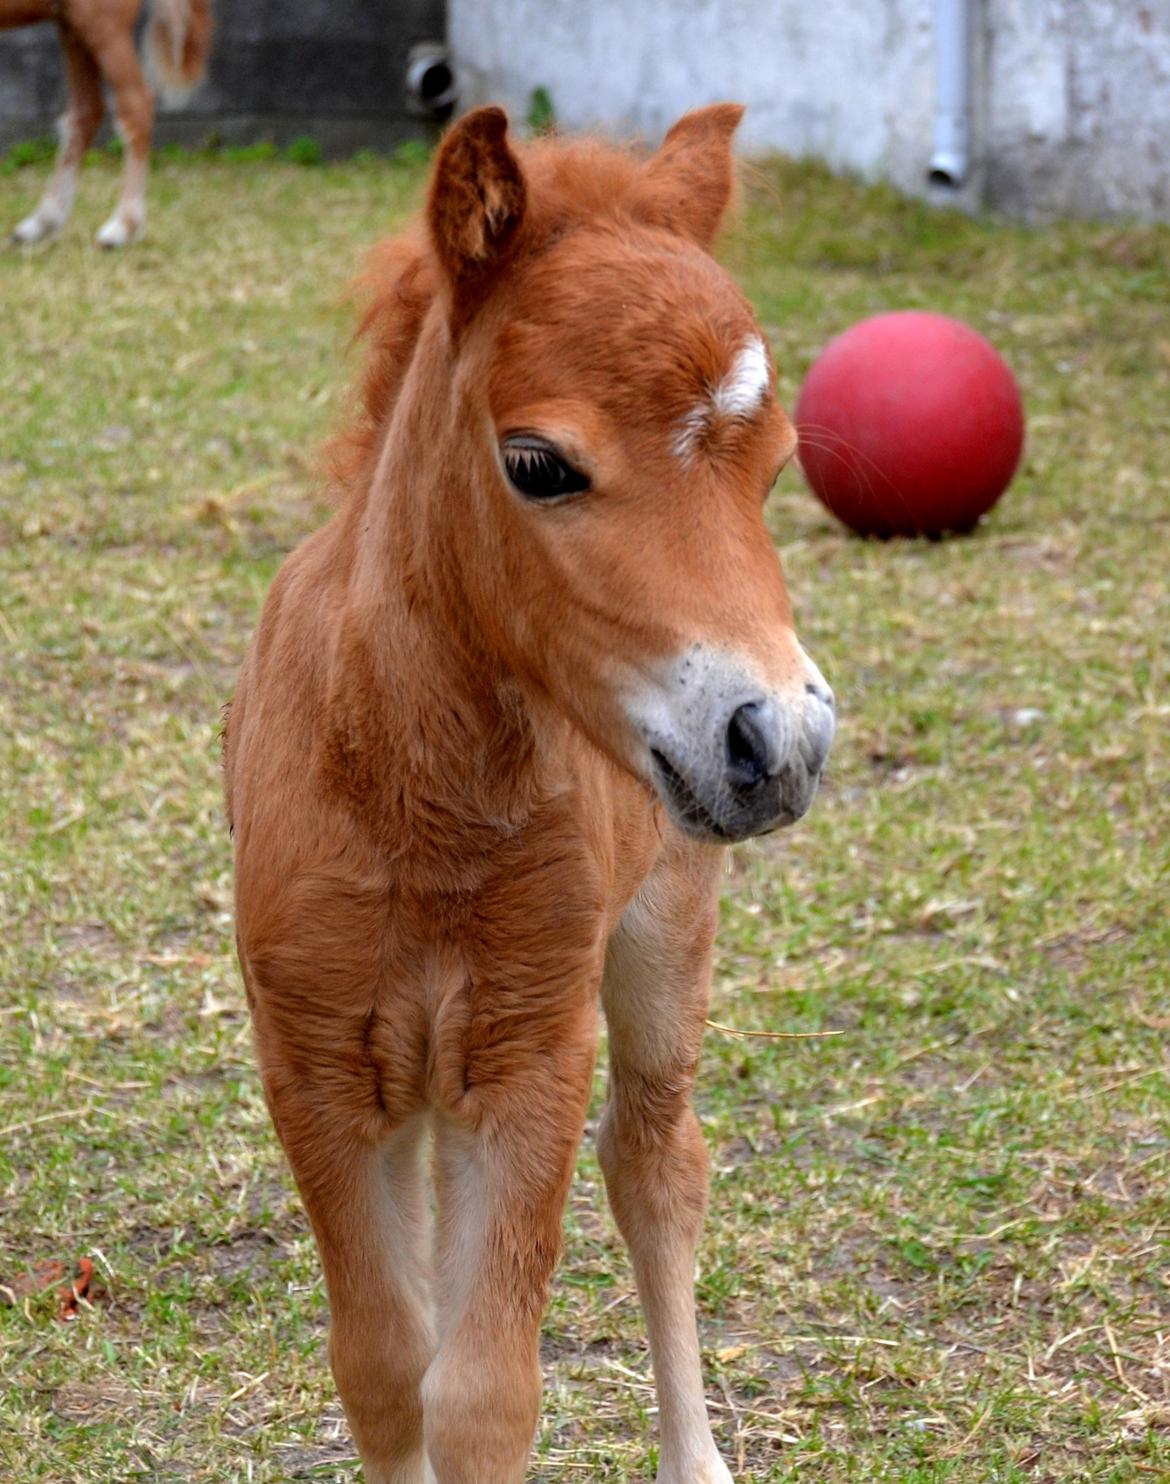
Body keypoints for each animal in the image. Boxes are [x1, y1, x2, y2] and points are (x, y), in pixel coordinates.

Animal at [2, 0, 210, 246]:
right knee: (86, 112)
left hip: (103, 25)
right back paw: (43, 222)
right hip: (71, 25)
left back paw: (123, 227)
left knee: (136, 103)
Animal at [224, 107, 837, 1484]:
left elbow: (483, 1393)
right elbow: (383, 1366)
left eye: (777, 467)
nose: (778, 739)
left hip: (664, 935)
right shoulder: (316, 1069)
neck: (414, 807)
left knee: (659, 1166)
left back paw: (695, 1456)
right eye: (538, 465)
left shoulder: (529, 1058)